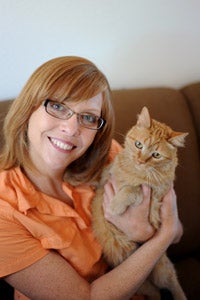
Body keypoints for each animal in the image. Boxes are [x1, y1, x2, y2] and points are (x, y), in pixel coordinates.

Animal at [91, 106, 188, 298]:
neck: (133, 171)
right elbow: (104, 176)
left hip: (161, 271)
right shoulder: (108, 175)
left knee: (173, 284)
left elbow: (132, 190)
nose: (140, 161)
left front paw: (115, 205)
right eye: (138, 145)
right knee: (155, 294)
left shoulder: (153, 202)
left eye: (156, 155)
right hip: (141, 286)